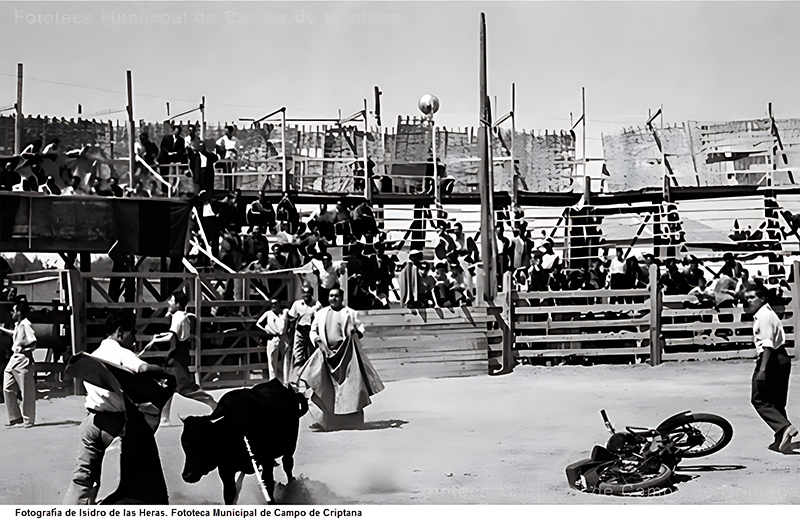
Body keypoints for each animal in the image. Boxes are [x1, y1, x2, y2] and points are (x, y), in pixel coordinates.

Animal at [180, 378, 308, 504]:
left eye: (203, 444)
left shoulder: (266, 462)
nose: (187, 476)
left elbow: (268, 488)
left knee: (288, 465)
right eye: (185, 445)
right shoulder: (226, 471)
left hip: (291, 446)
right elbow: (230, 494)